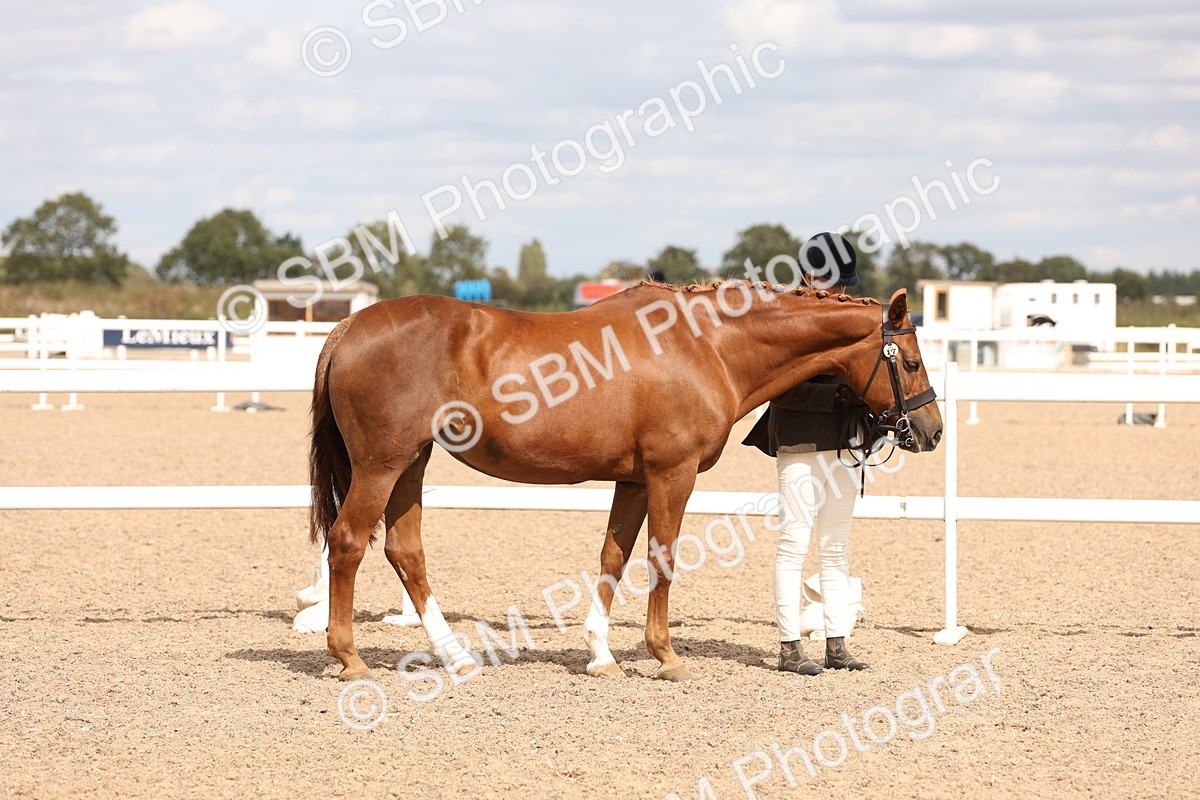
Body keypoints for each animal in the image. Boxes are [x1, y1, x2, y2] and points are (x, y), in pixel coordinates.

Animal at [308, 280, 942, 682]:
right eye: (911, 362)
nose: (930, 430)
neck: (706, 345)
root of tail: (351, 325)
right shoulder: (671, 476)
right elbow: (662, 557)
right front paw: (665, 656)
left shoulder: (634, 482)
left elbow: (614, 556)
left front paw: (600, 655)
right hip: (382, 466)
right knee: (347, 543)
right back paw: (349, 658)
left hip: (411, 463)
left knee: (404, 551)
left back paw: (454, 656)